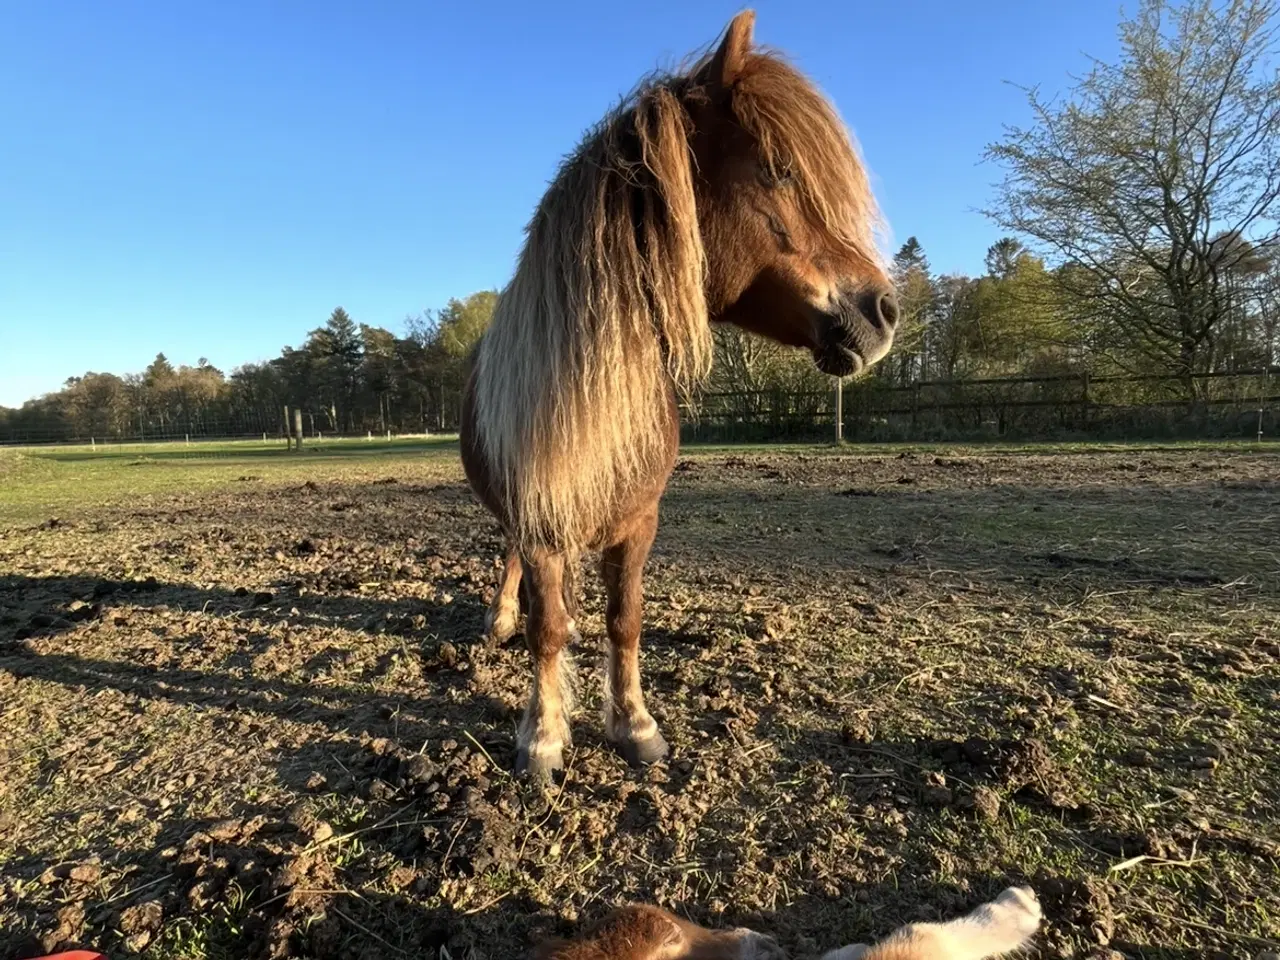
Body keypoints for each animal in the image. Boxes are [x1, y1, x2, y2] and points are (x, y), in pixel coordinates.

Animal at [460, 10, 899, 777]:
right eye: (779, 171)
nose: (884, 311)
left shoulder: (640, 523)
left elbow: (625, 620)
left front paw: (635, 725)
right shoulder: (542, 522)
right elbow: (548, 630)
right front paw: (542, 737)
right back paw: (502, 617)